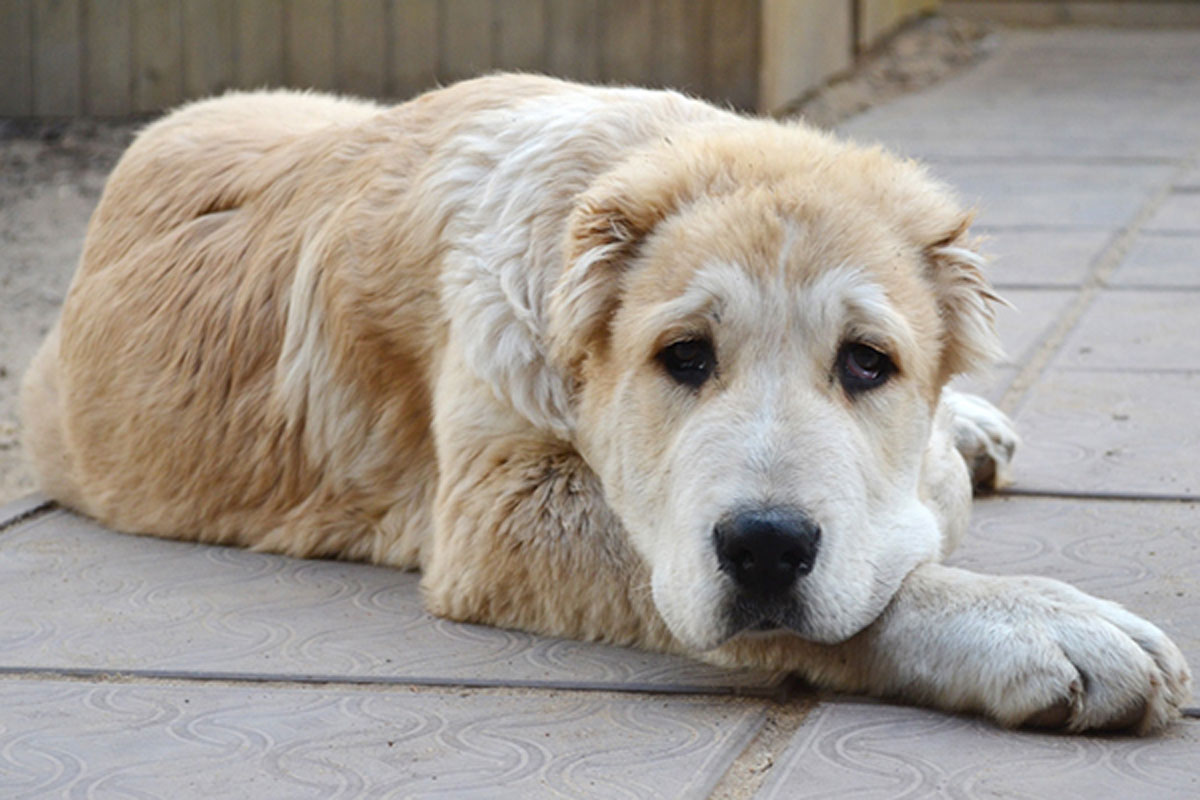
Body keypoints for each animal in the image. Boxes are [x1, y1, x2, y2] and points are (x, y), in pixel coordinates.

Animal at [21, 74, 1190, 734]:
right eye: (683, 356)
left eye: (867, 363)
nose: (766, 547)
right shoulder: (497, 513)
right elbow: (878, 576)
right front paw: (1037, 623)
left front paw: (952, 451)